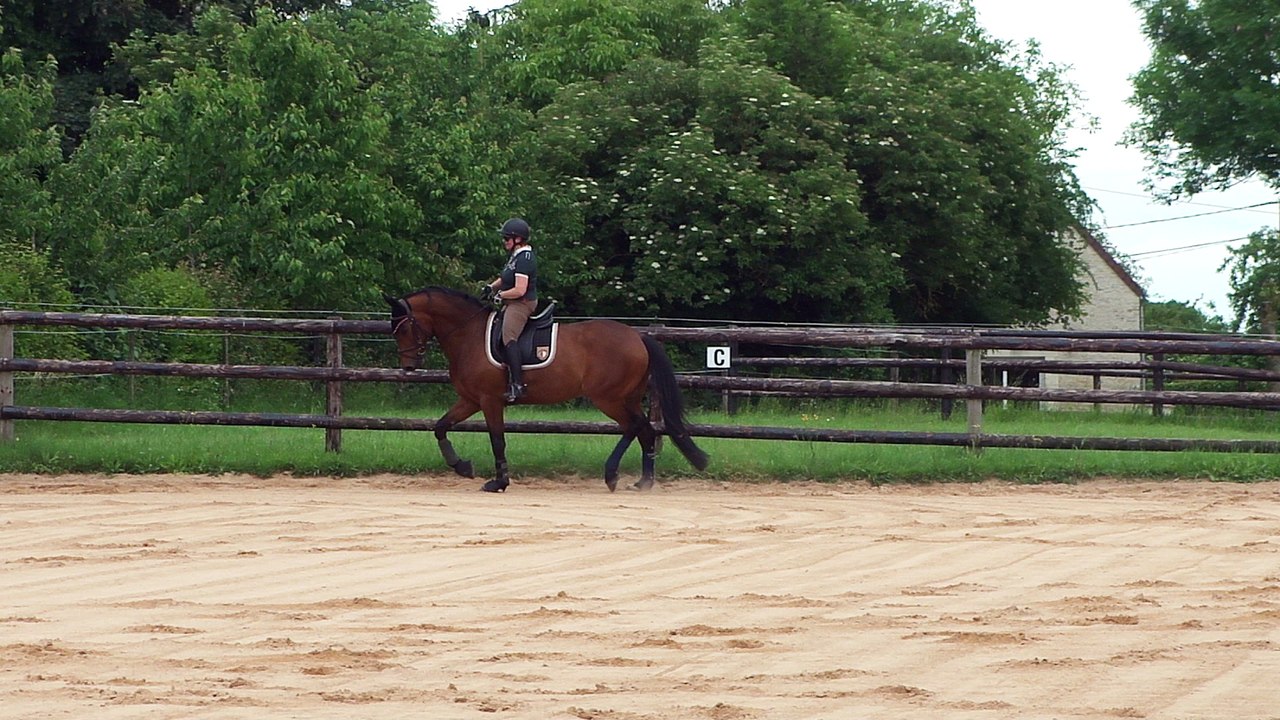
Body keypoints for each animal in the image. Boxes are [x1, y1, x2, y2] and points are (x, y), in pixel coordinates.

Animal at [384, 286, 709, 492]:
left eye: (404, 327)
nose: (409, 366)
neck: (469, 334)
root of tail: (637, 336)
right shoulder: (469, 400)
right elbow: (440, 426)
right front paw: (462, 466)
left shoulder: (490, 401)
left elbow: (497, 440)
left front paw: (498, 483)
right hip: (627, 397)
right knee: (646, 431)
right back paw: (644, 483)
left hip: (609, 398)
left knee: (634, 427)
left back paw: (611, 475)